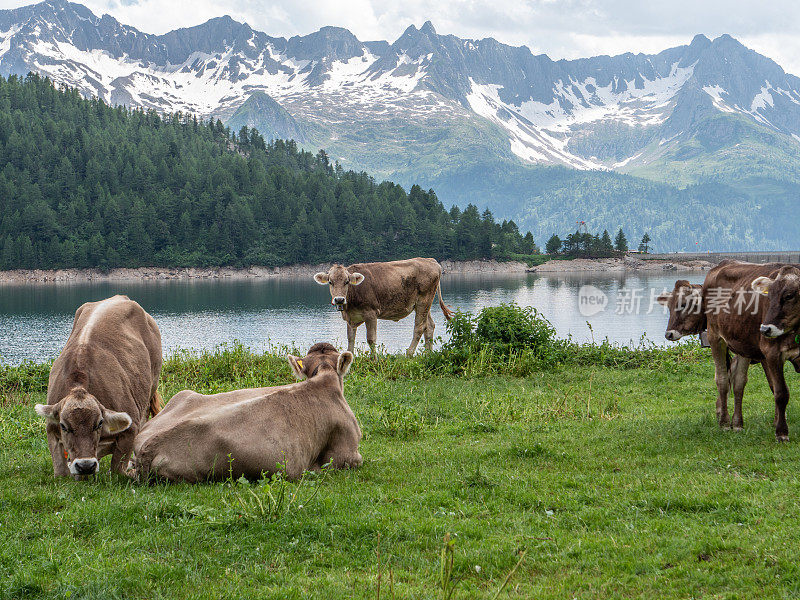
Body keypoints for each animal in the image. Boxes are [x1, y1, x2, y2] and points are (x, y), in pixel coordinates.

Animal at [34, 296, 162, 478]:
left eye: (99, 423)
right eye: (64, 426)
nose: (86, 465)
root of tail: (120, 297)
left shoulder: (132, 427)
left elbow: (117, 469)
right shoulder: (51, 427)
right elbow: (60, 470)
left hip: (152, 382)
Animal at [312, 258, 454, 356]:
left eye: (347, 281)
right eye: (330, 282)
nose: (339, 299)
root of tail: (431, 260)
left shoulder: (371, 313)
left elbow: (371, 339)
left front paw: (374, 360)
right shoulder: (350, 317)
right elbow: (350, 339)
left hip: (423, 301)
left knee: (419, 327)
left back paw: (409, 353)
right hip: (424, 304)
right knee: (429, 326)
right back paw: (428, 355)